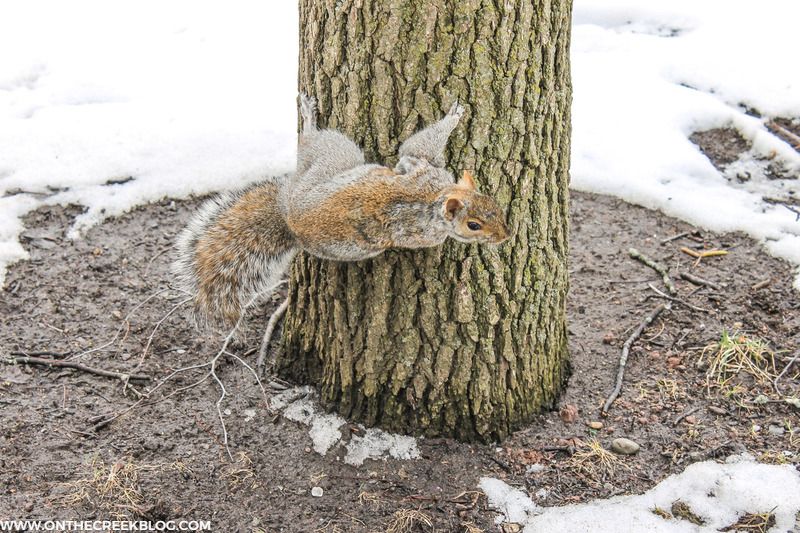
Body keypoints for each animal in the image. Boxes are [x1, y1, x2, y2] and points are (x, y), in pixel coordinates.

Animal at [176, 93, 512, 326]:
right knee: (313, 140)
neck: (434, 199)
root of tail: (288, 215)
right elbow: (417, 147)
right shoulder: (423, 177)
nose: (506, 236)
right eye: (473, 225)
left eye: (494, 204)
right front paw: (453, 116)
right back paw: (308, 117)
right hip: (337, 153)